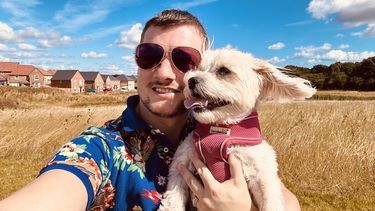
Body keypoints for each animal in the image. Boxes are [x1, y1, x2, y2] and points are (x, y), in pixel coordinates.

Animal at [159, 48, 318, 211]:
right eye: (197, 68)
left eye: (224, 70)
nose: (191, 80)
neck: (220, 131)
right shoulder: (179, 167)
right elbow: (172, 201)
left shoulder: (262, 174)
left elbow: (270, 200)